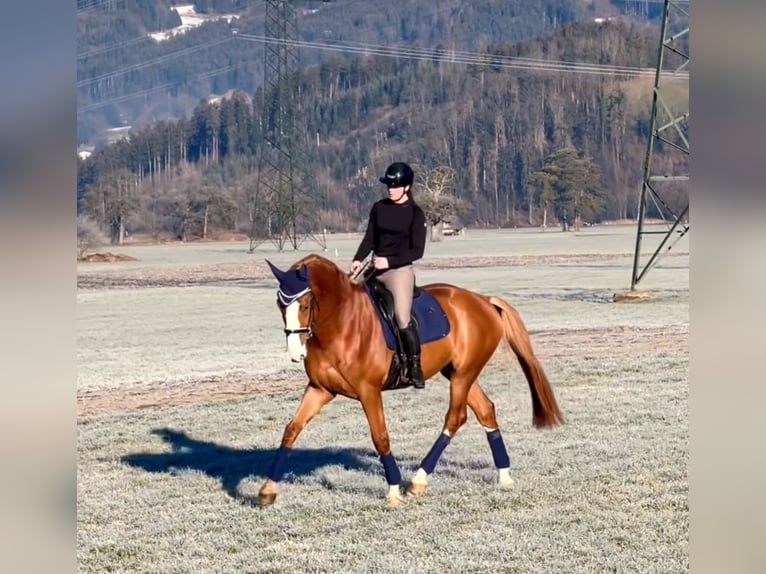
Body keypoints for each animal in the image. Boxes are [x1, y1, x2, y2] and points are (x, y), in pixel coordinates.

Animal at [260, 254, 560, 506]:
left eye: (305, 304)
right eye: (279, 304)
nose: (295, 353)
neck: (341, 324)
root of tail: (484, 300)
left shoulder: (369, 392)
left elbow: (380, 437)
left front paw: (393, 492)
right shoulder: (320, 389)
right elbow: (291, 429)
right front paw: (267, 490)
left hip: (463, 375)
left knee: (456, 417)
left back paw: (418, 480)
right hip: (459, 373)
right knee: (485, 410)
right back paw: (504, 475)